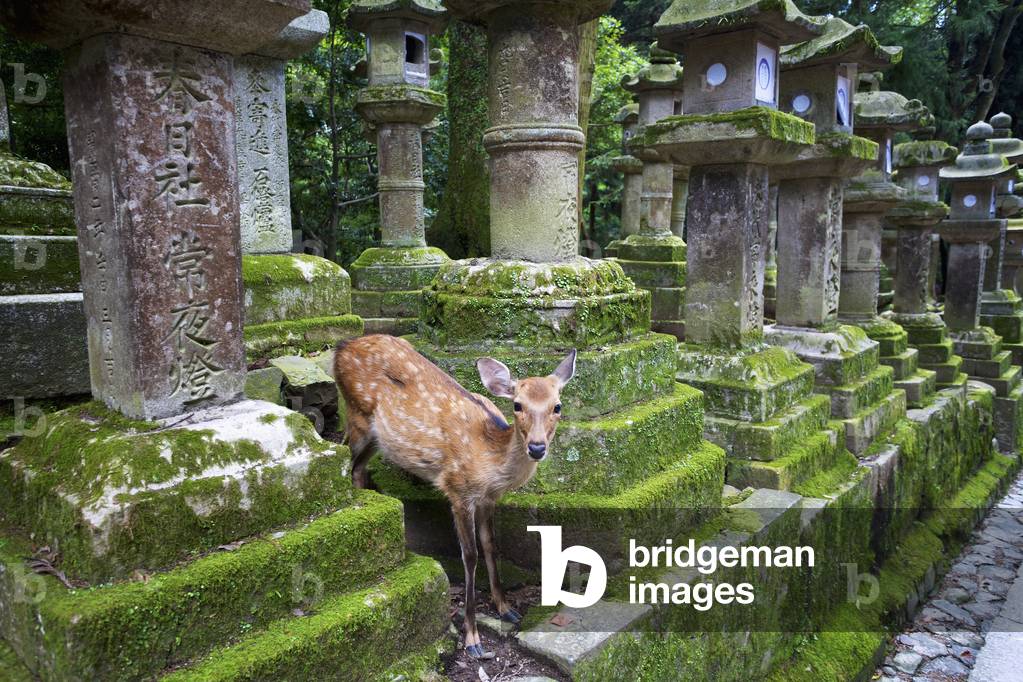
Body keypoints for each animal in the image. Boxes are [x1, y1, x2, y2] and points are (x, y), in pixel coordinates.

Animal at [333, 334, 576, 658]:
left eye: (557, 406)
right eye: (517, 405)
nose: (537, 447)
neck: (490, 461)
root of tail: (341, 347)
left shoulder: (489, 499)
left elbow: (491, 545)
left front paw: (506, 607)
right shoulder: (458, 490)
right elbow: (470, 555)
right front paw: (473, 638)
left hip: (376, 436)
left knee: (358, 467)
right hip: (356, 413)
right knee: (345, 455)